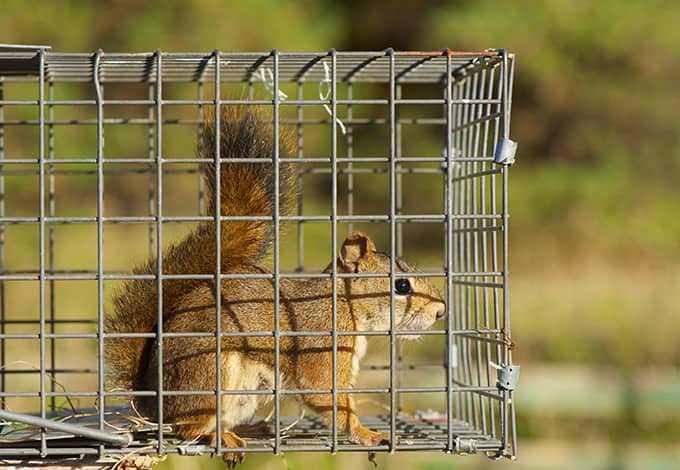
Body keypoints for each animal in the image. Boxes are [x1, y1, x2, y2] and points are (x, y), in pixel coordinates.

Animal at [103, 103, 446, 466]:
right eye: (402, 286)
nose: (441, 311)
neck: (344, 307)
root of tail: (151, 402)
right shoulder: (319, 347)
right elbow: (327, 397)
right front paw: (368, 434)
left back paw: (253, 429)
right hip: (209, 372)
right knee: (188, 428)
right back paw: (222, 437)